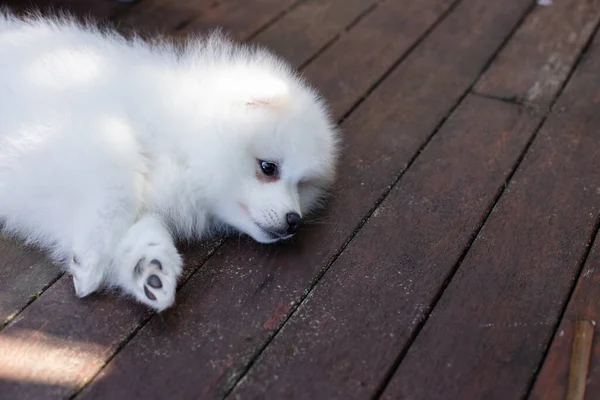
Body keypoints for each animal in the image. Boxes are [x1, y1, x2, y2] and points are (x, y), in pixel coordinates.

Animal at [0, 8, 338, 310]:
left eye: (302, 185)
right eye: (268, 167)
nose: (294, 221)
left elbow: (140, 228)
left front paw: (149, 270)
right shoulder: (79, 132)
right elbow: (118, 185)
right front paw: (92, 259)